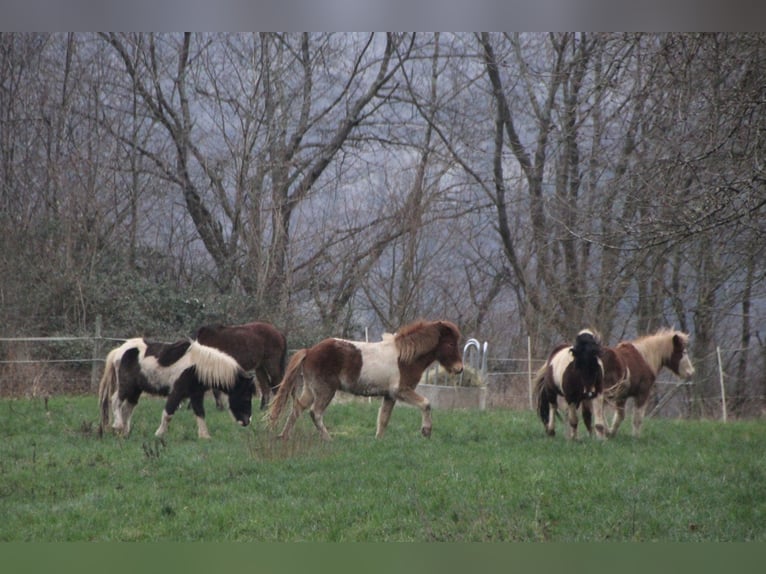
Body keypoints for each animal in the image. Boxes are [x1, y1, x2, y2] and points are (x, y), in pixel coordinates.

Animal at [97, 338, 255, 440]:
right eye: (246, 396)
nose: (247, 421)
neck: (197, 366)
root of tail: (118, 351)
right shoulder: (177, 392)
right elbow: (168, 413)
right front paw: (159, 434)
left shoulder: (196, 394)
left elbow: (200, 413)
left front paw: (204, 436)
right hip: (127, 386)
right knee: (115, 400)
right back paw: (117, 426)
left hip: (136, 390)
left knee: (127, 408)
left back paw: (124, 433)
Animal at [268, 320, 464, 440]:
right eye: (450, 344)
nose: (459, 368)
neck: (404, 358)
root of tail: (309, 351)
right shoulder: (401, 391)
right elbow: (426, 403)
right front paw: (426, 431)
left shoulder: (389, 395)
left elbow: (383, 419)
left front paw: (378, 441)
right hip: (325, 391)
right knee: (315, 413)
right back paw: (328, 439)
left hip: (310, 390)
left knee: (297, 408)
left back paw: (283, 436)